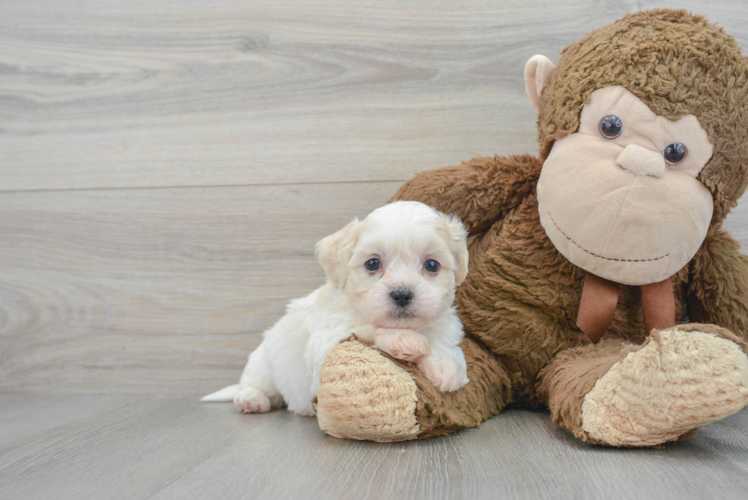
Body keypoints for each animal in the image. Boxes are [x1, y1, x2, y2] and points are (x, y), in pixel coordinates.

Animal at [200, 201, 468, 416]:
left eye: (431, 265)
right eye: (372, 263)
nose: (402, 294)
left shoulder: (444, 324)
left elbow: (441, 341)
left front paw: (446, 366)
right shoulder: (327, 343)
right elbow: (368, 330)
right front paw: (405, 340)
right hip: (263, 365)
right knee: (256, 385)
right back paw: (251, 399)